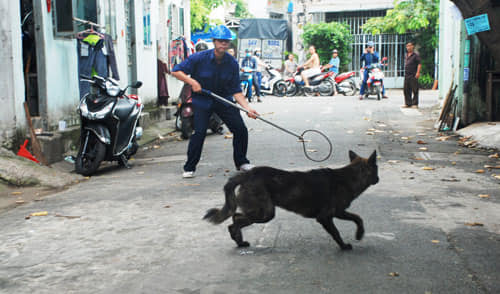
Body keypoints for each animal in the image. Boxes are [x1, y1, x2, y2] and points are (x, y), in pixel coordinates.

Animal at [203, 150, 378, 249]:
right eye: (376, 169)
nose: (378, 179)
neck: (348, 177)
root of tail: (247, 174)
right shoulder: (326, 217)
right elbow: (336, 232)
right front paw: (343, 246)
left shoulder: (339, 212)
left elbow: (358, 218)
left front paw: (359, 234)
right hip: (265, 213)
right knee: (235, 221)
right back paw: (237, 238)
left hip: (261, 212)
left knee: (236, 217)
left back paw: (239, 241)